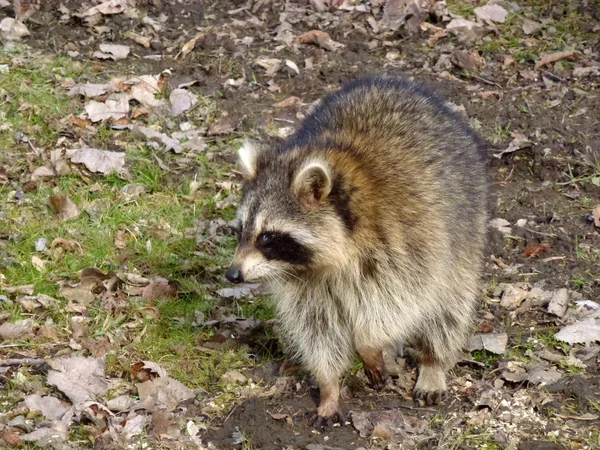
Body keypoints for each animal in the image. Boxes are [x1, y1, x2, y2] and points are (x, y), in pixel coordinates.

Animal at [225, 74, 488, 428]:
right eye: (241, 230)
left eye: (268, 237)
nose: (233, 274)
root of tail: (394, 82)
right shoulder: (305, 283)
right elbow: (316, 328)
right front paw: (329, 387)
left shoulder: (405, 240)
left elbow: (402, 300)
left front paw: (369, 344)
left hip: (465, 229)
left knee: (448, 306)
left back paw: (433, 361)